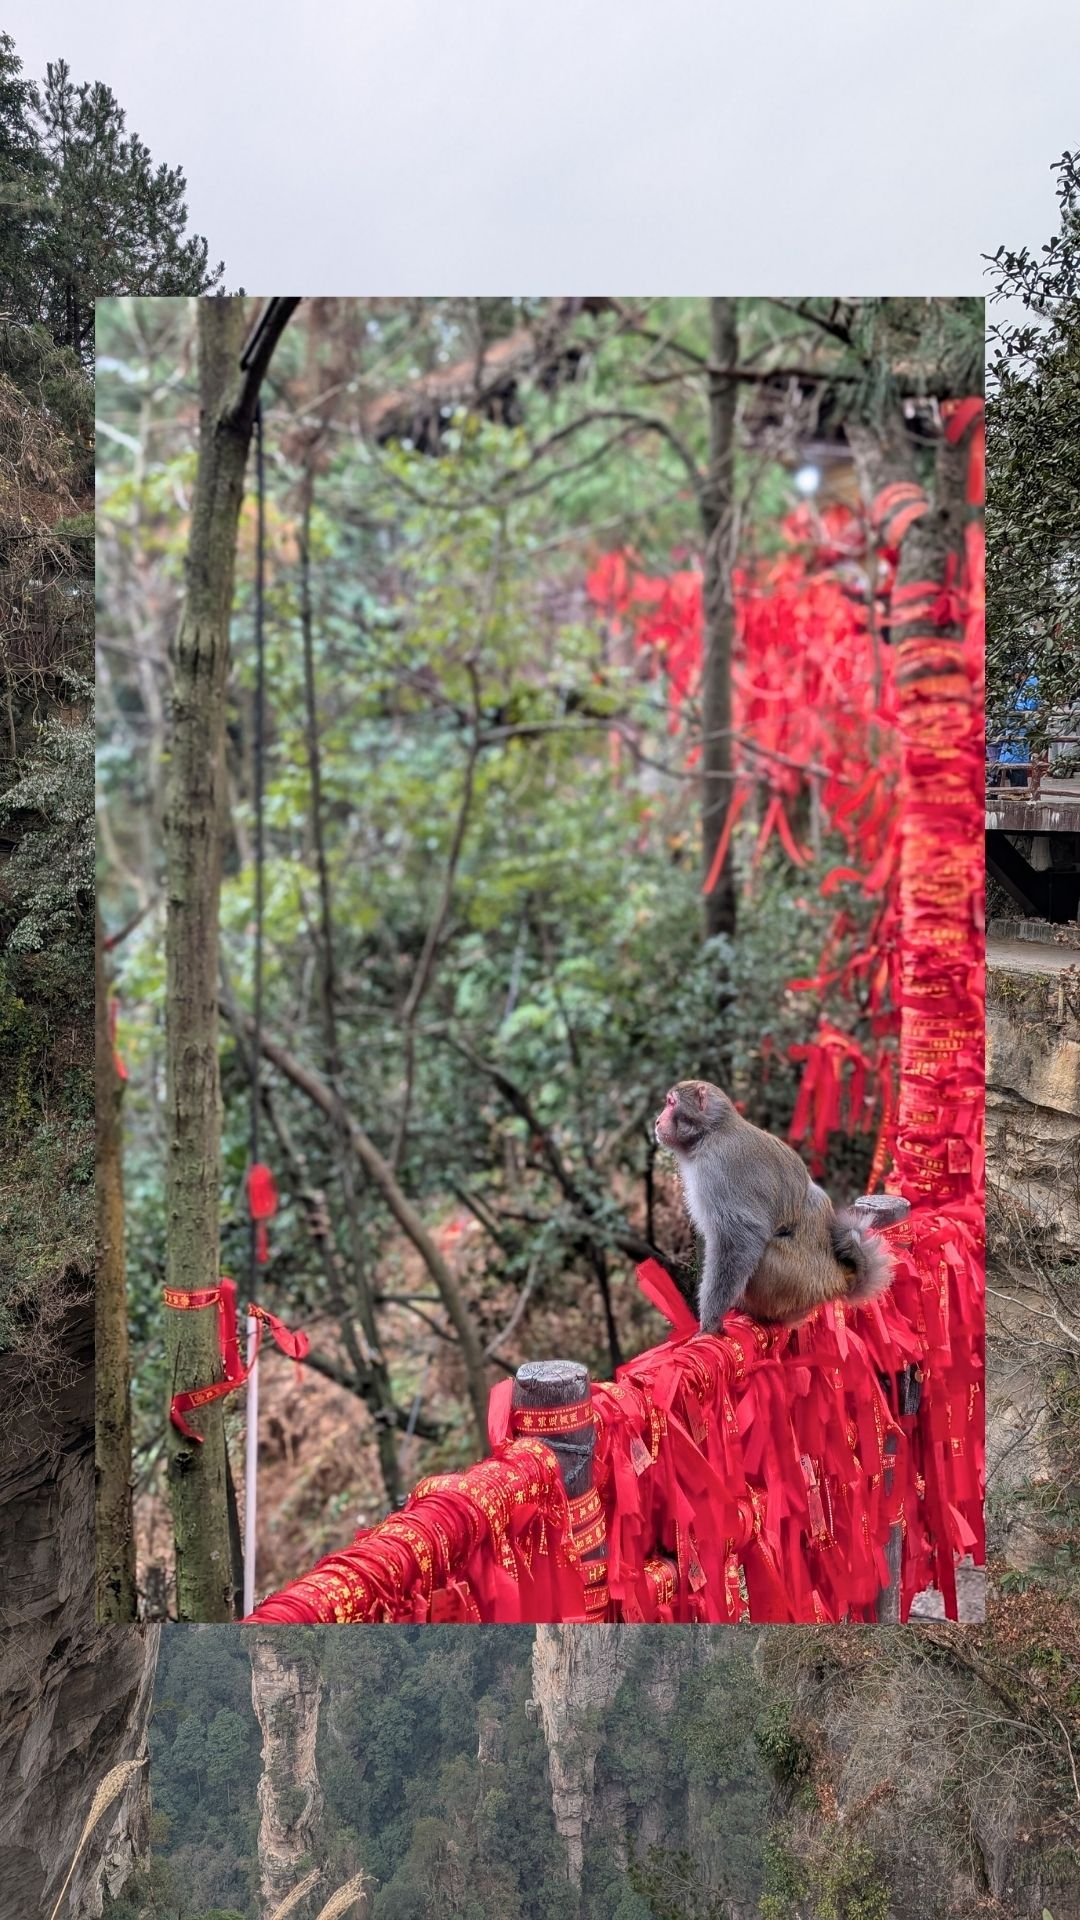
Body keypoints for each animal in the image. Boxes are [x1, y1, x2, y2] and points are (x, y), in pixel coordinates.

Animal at [655, 1079, 892, 1332]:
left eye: (671, 1103)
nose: (658, 1121)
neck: (710, 1132)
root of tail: (837, 1280)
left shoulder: (717, 1168)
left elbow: (740, 1237)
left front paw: (710, 1322)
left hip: (792, 1283)